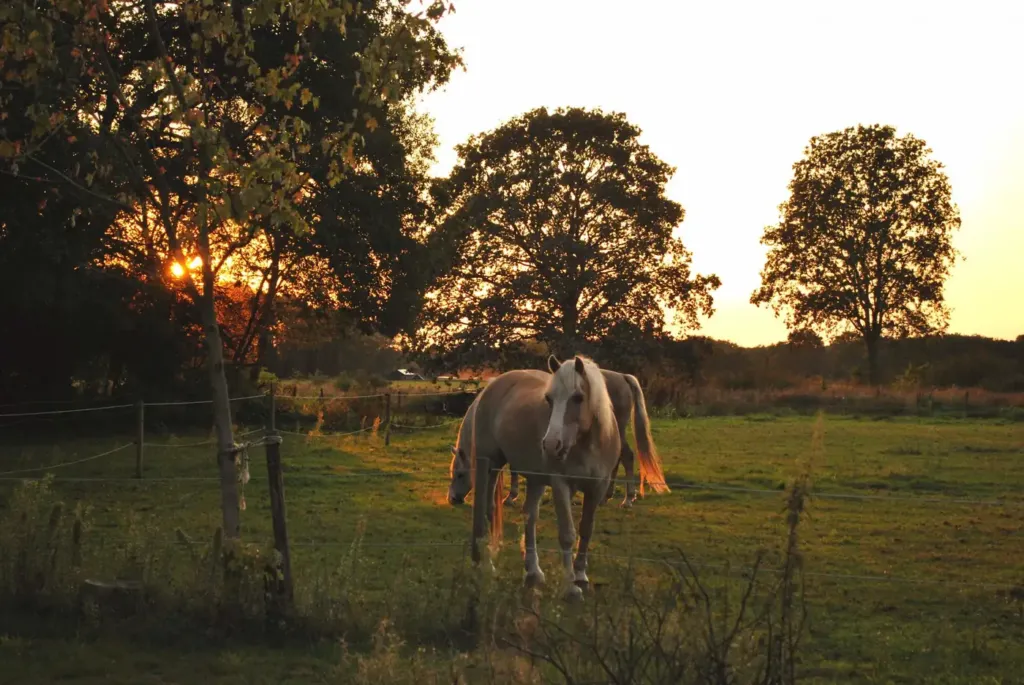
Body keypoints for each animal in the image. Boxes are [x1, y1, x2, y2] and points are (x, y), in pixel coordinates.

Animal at [449, 355, 625, 600]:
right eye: (549, 399)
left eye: (578, 397)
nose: (551, 445)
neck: (587, 444)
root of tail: (491, 387)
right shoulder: (561, 484)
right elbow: (567, 534)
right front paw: (570, 586)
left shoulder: (597, 488)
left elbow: (586, 530)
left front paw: (581, 575)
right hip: (491, 465)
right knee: (488, 509)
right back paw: (486, 565)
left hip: (534, 479)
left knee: (529, 517)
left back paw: (533, 571)